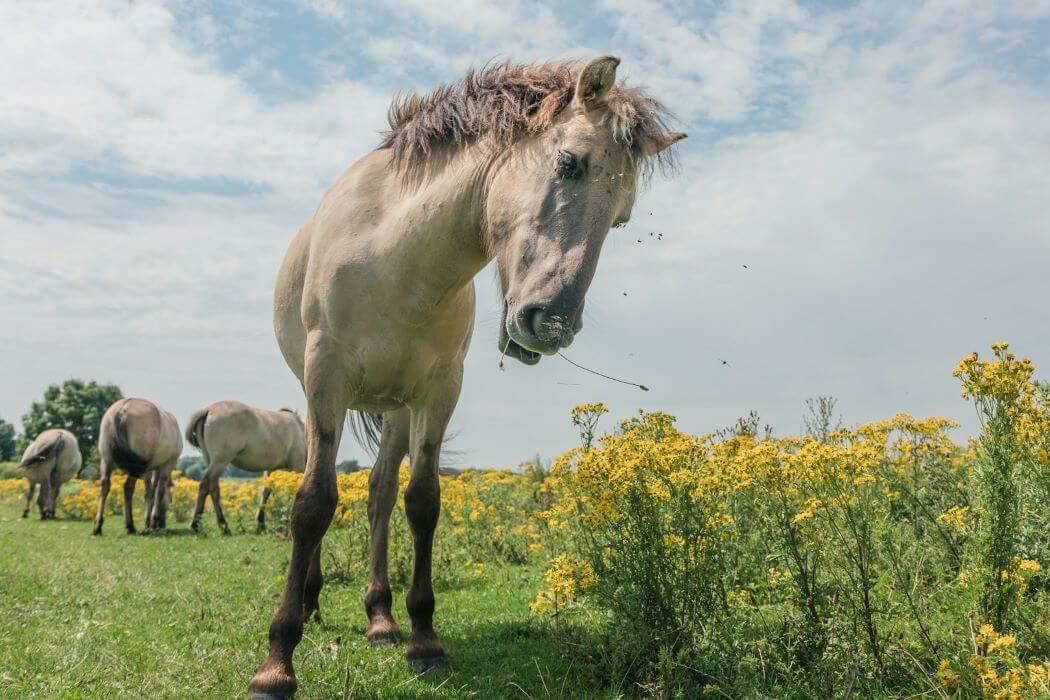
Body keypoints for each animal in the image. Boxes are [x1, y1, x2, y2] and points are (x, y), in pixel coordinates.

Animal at [92, 398, 182, 537]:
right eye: (171, 499)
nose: (163, 524)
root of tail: (122, 410)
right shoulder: (166, 465)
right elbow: (158, 491)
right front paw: (152, 522)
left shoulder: (151, 470)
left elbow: (150, 491)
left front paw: (149, 522)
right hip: (136, 467)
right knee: (128, 488)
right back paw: (130, 526)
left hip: (106, 460)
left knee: (106, 485)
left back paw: (98, 527)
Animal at [184, 402, 306, 533]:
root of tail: (208, 410)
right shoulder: (298, 466)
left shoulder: (271, 469)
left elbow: (266, 491)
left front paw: (261, 522)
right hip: (220, 461)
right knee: (210, 486)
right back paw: (221, 525)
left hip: (211, 460)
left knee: (209, 487)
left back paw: (198, 524)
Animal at [249, 53, 684, 696]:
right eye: (569, 163)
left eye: (623, 217)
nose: (551, 324)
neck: (394, 256)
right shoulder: (324, 380)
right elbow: (312, 503)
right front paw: (277, 663)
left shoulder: (438, 392)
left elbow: (422, 502)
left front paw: (424, 640)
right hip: (321, 398)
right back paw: (311, 601)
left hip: (397, 409)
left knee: (379, 495)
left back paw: (381, 620)